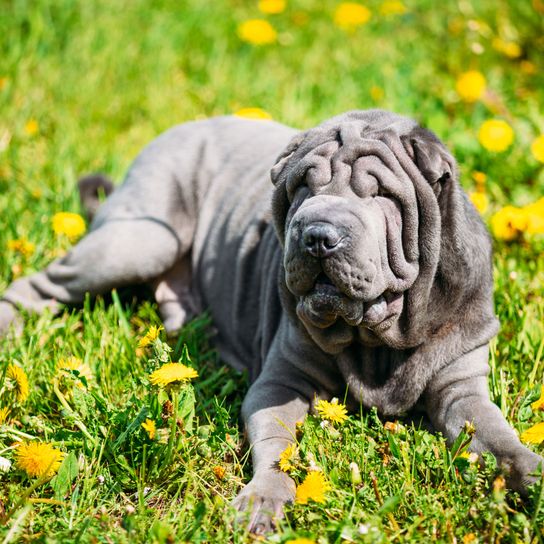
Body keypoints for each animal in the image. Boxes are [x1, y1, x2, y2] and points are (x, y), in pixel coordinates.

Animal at [1, 109, 544, 532]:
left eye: (379, 196)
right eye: (302, 187)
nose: (318, 235)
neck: (374, 337)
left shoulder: (461, 385)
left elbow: (496, 435)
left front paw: (531, 477)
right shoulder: (281, 382)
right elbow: (277, 444)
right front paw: (264, 498)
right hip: (141, 238)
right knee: (41, 285)